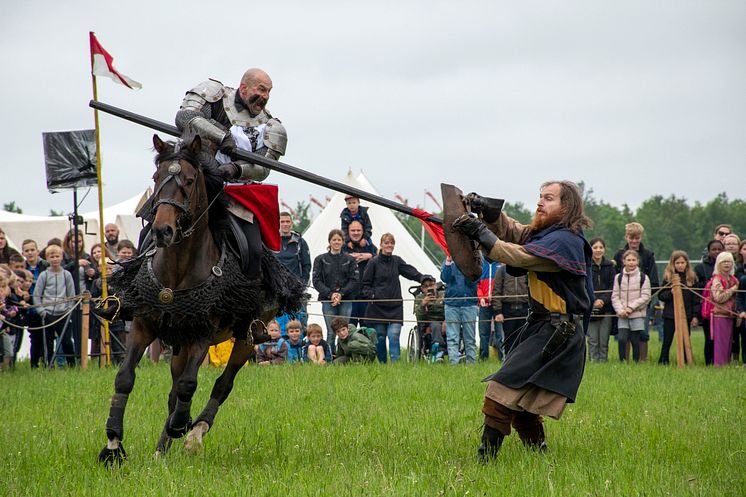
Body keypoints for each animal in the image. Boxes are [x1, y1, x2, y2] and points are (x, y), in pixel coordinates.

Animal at [99, 135, 302, 464]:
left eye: (190, 180)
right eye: (156, 178)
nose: (162, 230)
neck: (177, 269)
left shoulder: (202, 333)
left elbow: (189, 384)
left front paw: (183, 426)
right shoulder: (143, 326)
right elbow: (125, 378)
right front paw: (114, 444)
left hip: (246, 337)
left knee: (222, 384)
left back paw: (194, 434)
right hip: (178, 342)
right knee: (173, 392)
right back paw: (162, 448)